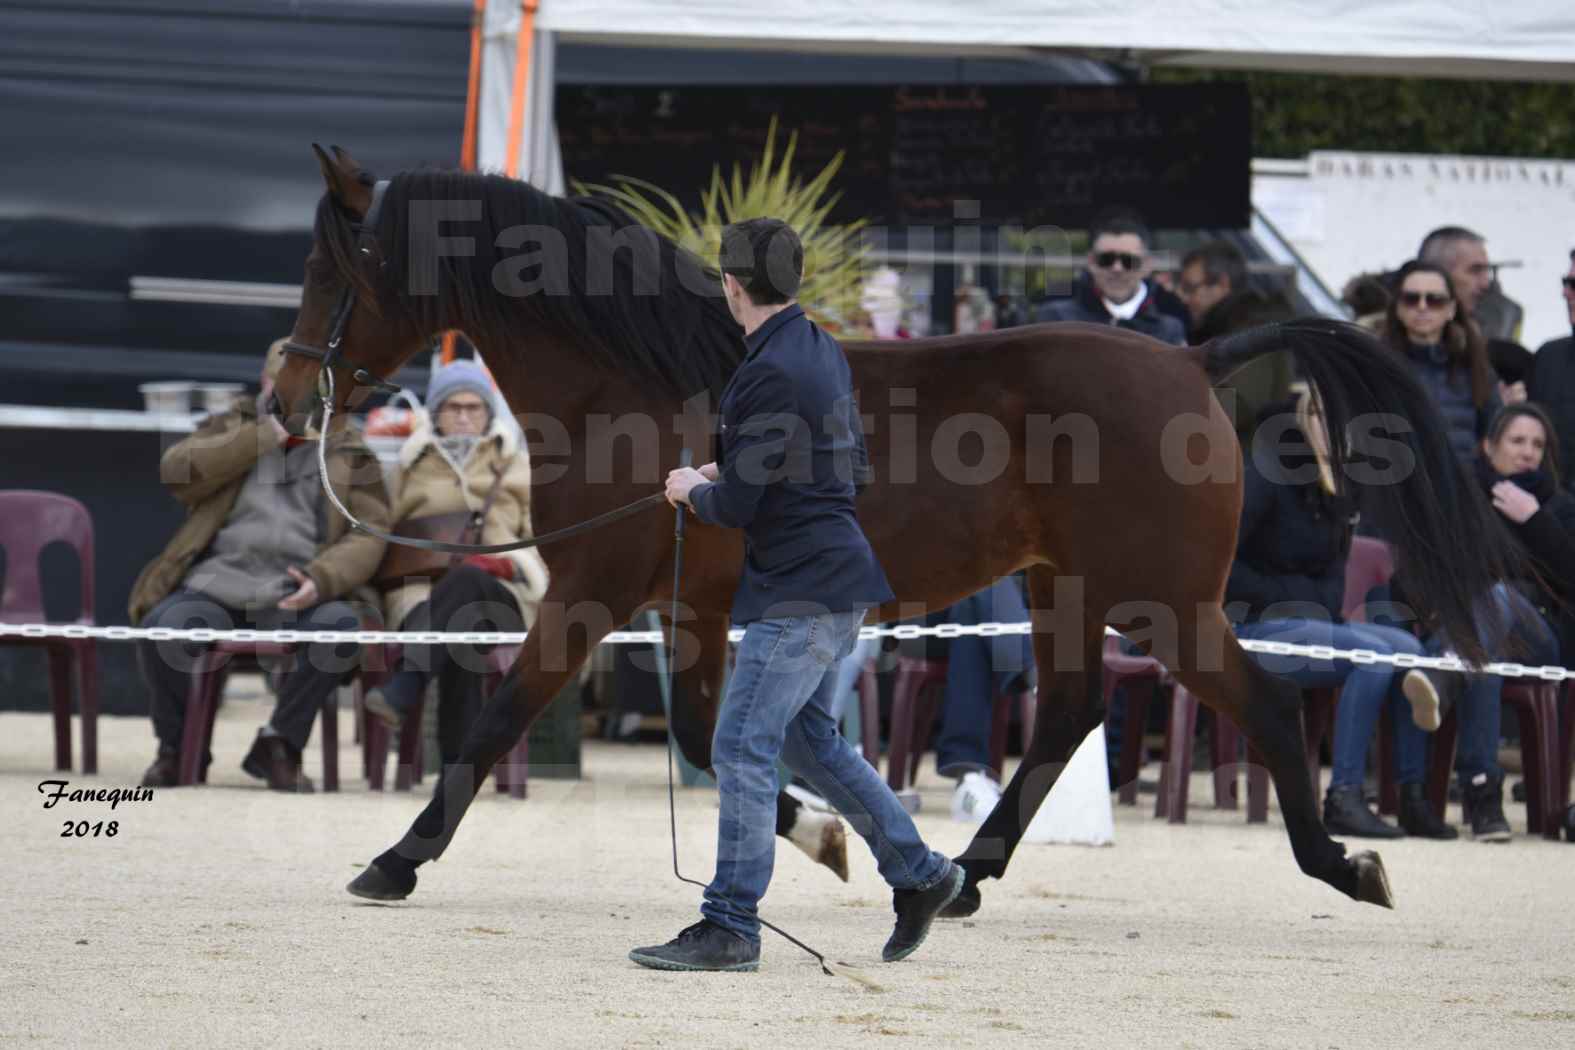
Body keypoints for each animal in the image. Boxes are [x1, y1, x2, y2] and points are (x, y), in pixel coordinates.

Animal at [277, 145, 1518, 919]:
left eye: (329, 267)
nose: (288, 398)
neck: (633, 386)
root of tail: (1195, 359)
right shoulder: (692, 609)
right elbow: (702, 737)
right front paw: (830, 838)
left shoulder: (592, 597)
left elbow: (492, 726)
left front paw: (392, 862)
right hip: (1067, 591)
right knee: (1070, 711)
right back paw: (968, 875)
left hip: (1162, 603)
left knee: (1260, 704)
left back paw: (1346, 866)